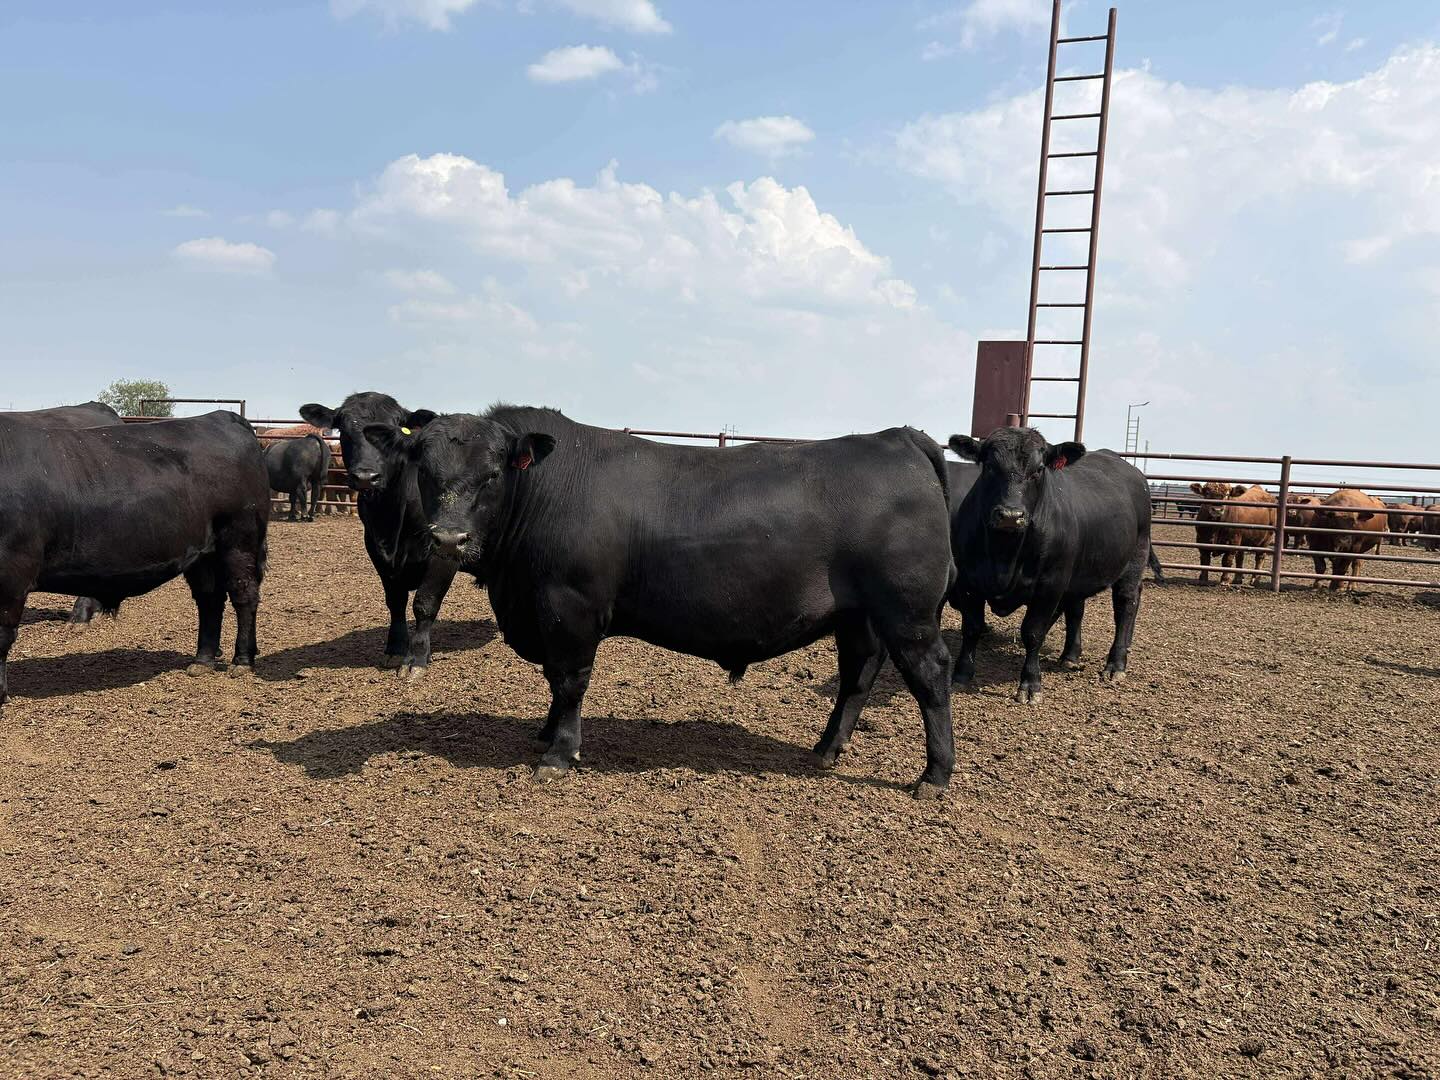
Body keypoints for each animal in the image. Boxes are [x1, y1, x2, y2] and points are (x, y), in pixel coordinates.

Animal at [299, 395, 449, 677]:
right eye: (344, 430)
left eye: (391, 432)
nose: (366, 477)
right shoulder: (375, 548)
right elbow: (396, 601)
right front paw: (396, 648)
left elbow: (425, 602)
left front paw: (417, 657)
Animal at [365, 406, 957, 799]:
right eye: (426, 472)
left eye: (492, 475)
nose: (448, 539)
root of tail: (897, 438)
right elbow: (554, 681)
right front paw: (546, 733)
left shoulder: (570, 607)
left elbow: (570, 680)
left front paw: (560, 752)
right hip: (858, 614)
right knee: (859, 671)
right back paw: (827, 749)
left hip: (908, 612)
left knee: (929, 674)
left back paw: (934, 775)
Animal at [945, 427, 1152, 705]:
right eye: (989, 466)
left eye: (1039, 469)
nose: (1011, 515)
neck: (1004, 553)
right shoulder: (968, 582)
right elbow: (972, 628)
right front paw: (961, 674)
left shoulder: (1049, 586)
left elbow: (1033, 632)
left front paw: (1030, 684)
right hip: (1078, 575)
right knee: (1076, 609)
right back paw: (1070, 656)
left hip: (1134, 560)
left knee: (1126, 605)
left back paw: (1116, 664)